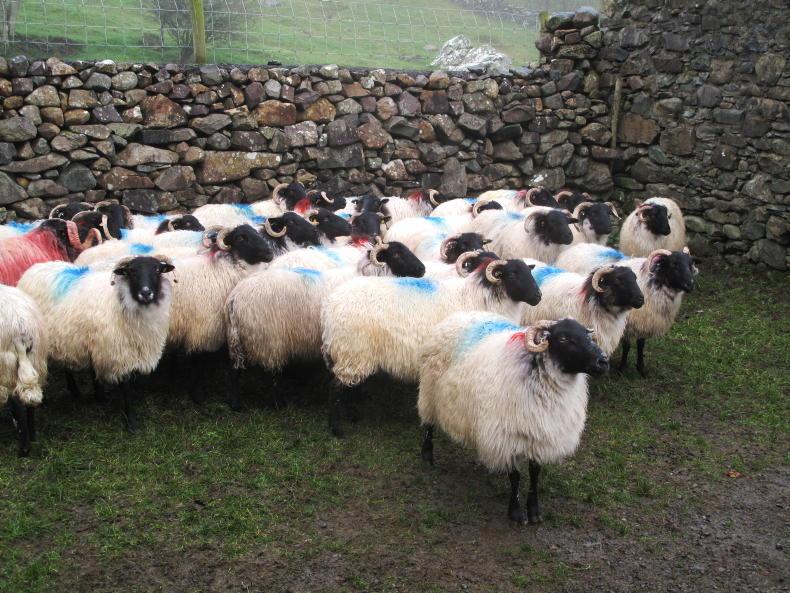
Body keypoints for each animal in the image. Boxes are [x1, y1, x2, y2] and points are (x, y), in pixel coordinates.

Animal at [0, 285, 48, 456]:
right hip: (36, 360)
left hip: (7, 366)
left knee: (17, 403)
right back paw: (32, 436)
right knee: (30, 403)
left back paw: (24, 448)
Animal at [21, 255, 176, 431]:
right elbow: (125, 388)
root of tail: (34, 268)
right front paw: (131, 422)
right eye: (131, 271)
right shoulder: (118, 351)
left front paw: (100, 396)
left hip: (64, 336)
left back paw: (75, 391)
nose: (146, 293)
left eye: (157, 270)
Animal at [320, 253, 541, 436]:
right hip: (351, 352)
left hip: (356, 354)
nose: (538, 296)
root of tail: (330, 306)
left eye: (528, 271)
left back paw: (353, 416)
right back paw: (336, 428)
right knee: (335, 388)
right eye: (512, 274)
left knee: (351, 387)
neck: (479, 299)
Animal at [417, 313, 608, 523]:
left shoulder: (539, 435)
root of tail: (457, 315)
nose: (603, 361)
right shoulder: (508, 436)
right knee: (428, 424)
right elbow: (515, 476)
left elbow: (535, 473)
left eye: (587, 334)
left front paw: (534, 510)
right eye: (563, 338)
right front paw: (515, 512)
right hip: (429, 390)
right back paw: (427, 455)